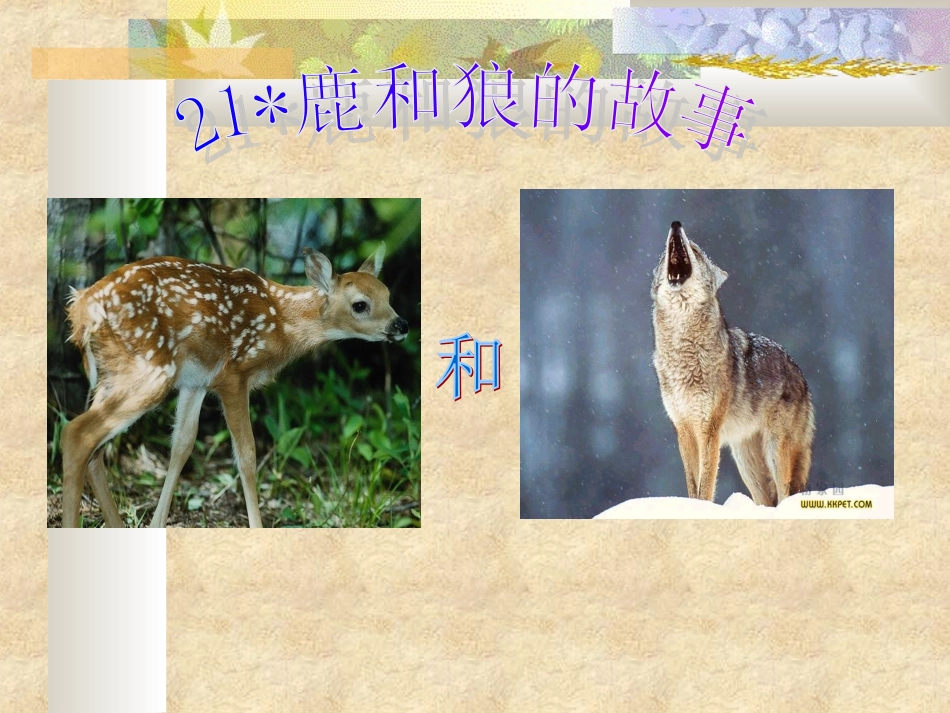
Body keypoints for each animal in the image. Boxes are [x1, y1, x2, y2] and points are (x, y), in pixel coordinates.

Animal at [60, 244, 408, 528]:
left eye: (388, 296)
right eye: (360, 305)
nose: (401, 324)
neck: (281, 321)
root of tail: (81, 311)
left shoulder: (197, 381)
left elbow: (182, 445)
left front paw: (157, 524)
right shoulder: (234, 375)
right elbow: (247, 456)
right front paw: (257, 527)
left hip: (114, 374)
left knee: (95, 449)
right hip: (150, 370)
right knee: (78, 433)